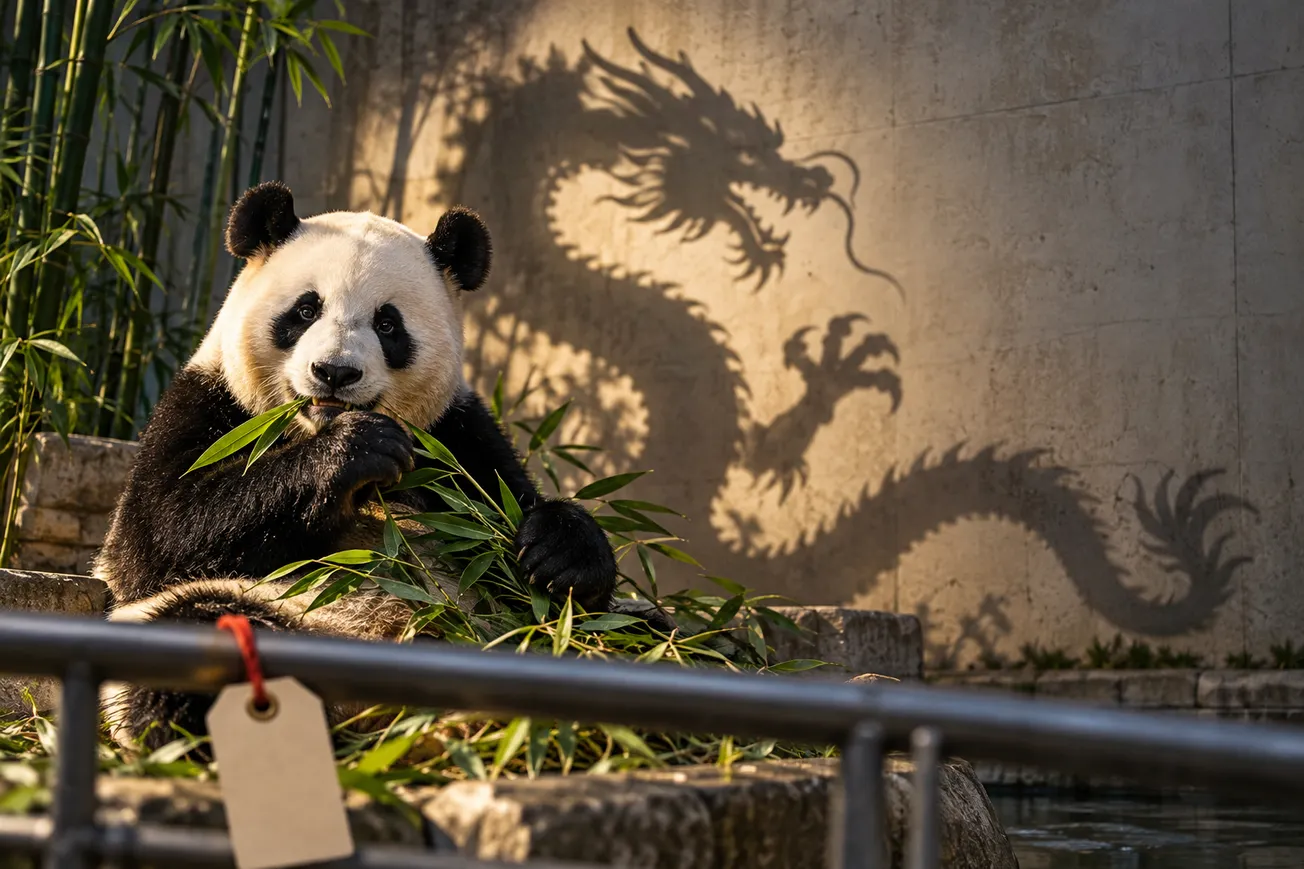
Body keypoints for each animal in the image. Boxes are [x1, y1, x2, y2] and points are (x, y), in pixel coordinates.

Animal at [95, 181, 640, 750]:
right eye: (305, 310)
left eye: (387, 324)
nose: (335, 372)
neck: (309, 426)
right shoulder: (208, 404)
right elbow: (158, 535)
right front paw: (359, 449)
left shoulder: (458, 436)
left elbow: (518, 520)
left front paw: (559, 555)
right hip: (254, 615)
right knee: (195, 640)